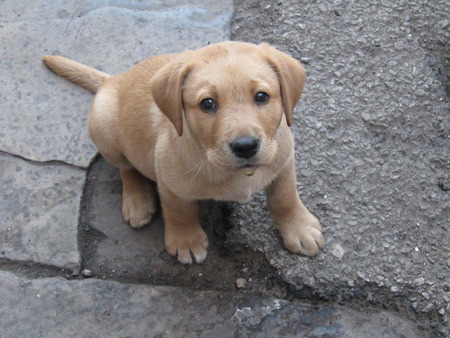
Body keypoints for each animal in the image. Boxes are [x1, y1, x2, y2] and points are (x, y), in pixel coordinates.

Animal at [43, 41, 324, 264]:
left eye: (262, 96)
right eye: (207, 103)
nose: (245, 146)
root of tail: (114, 79)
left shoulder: (284, 160)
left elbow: (285, 197)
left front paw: (299, 228)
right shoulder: (170, 183)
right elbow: (180, 212)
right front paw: (185, 241)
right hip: (103, 127)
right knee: (126, 168)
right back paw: (138, 200)